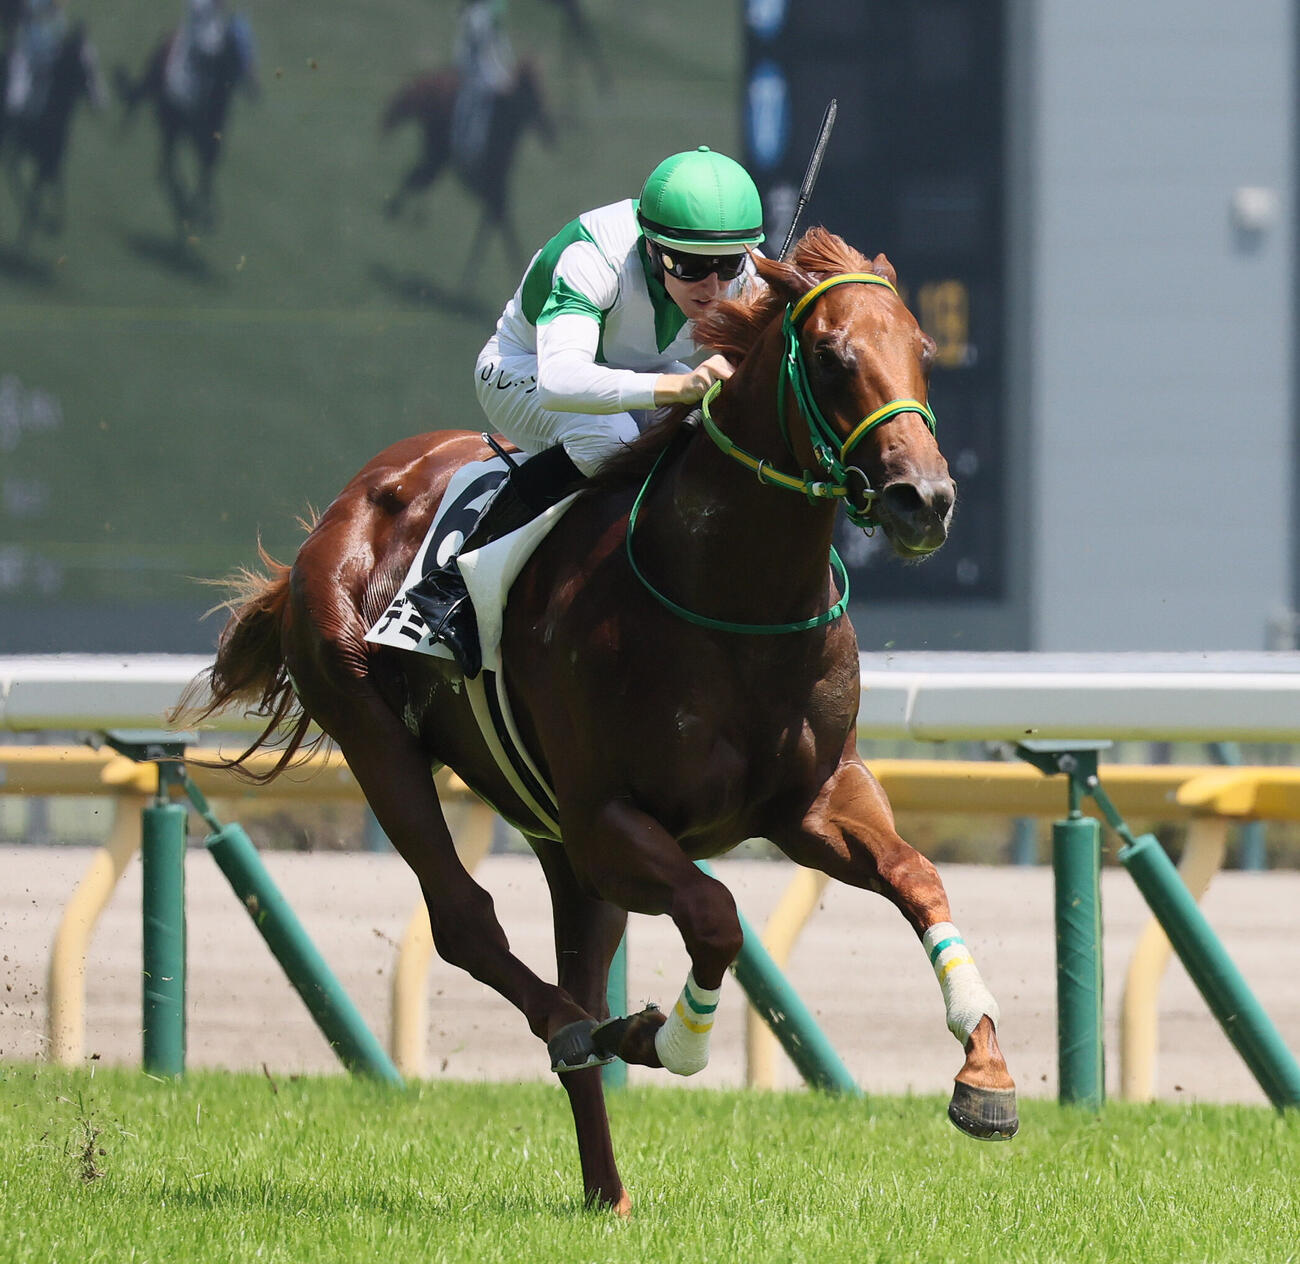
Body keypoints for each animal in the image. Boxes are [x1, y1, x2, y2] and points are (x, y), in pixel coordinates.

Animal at [0, 22, 105, 246]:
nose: (99, 101)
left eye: (95, 60)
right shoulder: (44, 161)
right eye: (86, 64)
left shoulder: (52, 160)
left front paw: (50, 223)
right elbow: (38, 193)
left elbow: (53, 188)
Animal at [114, 16, 256, 232]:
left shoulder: (211, 144)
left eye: (249, 48)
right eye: (236, 49)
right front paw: (197, 214)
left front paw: (207, 215)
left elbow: (206, 172)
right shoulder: (187, 131)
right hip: (168, 121)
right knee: (165, 164)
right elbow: (196, 171)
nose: (255, 89)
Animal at [177, 228, 1018, 1214]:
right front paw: (664, 1038)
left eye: (922, 348)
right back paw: (580, 1029)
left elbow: (917, 876)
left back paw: (606, 1185)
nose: (924, 498)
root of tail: (352, 499)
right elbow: (716, 914)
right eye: (832, 355)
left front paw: (986, 1075)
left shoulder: (809, 800)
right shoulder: (610, 818)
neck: (729, 592)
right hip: (377, 733)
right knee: (469, 924)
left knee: (571, 968)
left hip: (557, 844)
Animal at [381, 57, 555, 281]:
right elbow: (499, 220)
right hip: (437, 152)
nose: (550, 131)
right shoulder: (491, 182)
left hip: (438, 156)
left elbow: (494, 221)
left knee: (418, 178)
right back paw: (398, 211)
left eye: (544, 86)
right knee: (416, 177)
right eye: (531, 89)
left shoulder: (494, 182)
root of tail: (427, 82)